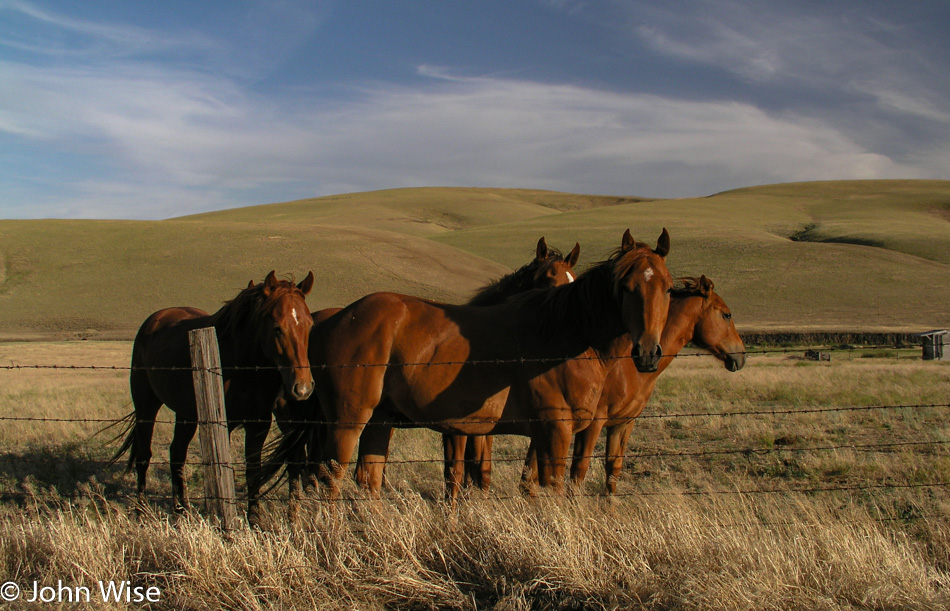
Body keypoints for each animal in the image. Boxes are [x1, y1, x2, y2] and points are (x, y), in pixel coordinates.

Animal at [115, 272, 316, 520]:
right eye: (277, 328)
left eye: (309, 325)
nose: (303, 388)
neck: (243, 366)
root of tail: (154, 319)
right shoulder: (223, 424)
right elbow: (223, 466)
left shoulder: (258, 424)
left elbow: (253, 471)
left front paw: (255, 519)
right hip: (146, 406)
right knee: (144, 456)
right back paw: (141, 510)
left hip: (186, 415)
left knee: (177, 454)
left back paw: (181, 510)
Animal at [308, 228, 672, 498]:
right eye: (626, 287)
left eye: (668, 288)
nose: (648, 352)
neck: (566, 332)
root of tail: (332, 319)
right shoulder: (555, 429)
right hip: (348, 422)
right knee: (331, 480)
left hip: (380, 420)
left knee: (368, 479)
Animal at [516, 274, 748, 494]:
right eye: (727, 314)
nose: (741, 356)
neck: (628, 365)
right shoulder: (593, 424)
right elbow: (577, 471)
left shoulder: (623, 423)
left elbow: (613, 471)